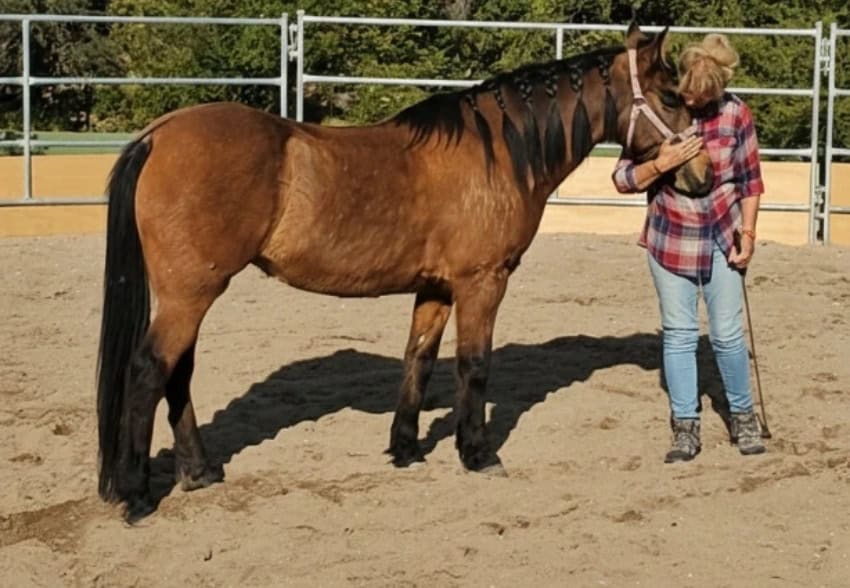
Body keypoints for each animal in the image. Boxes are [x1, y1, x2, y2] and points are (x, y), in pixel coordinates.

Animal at [97, 22, 713, 520]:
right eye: (669, 95)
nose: (702, 174)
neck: (498, 152)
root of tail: (159, 133)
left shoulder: (436, 289)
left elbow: (418, 360)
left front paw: (406, 449)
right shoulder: (482, 281)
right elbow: (474, 365)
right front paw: (477, 453)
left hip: (191, 293)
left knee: (177, 373)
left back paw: (199, 472)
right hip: (191, 292)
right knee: (149, 370)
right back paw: (137, 494)